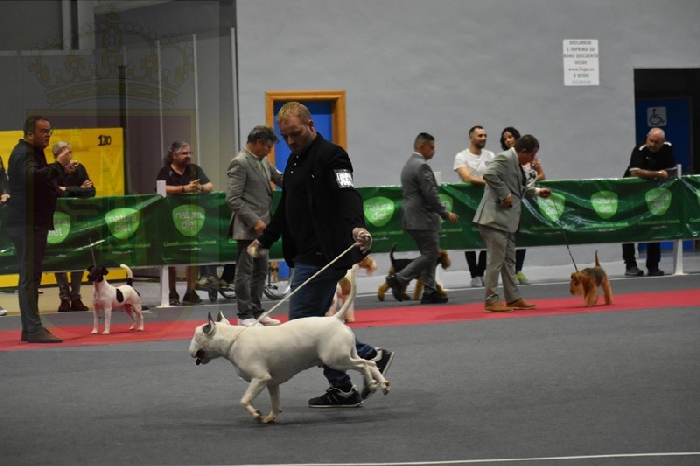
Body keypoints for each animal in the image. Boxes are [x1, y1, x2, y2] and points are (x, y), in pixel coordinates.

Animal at [188, 264, 390, 424]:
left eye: (196, 337)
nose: (190, 352)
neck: (233, 338)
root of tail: (335, 319)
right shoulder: (270, 382)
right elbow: (275, 403)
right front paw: (269, 418)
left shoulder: (259, 378)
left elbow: (244, 400)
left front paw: (256, 414)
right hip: (346, 354)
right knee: (370, 363)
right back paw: (382, 384)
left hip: (335, 359)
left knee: (363, 365)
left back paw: (372, 384)